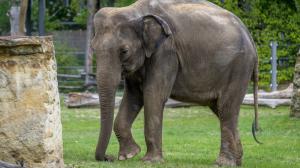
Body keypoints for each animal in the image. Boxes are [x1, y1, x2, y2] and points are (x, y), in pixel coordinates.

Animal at [91, 0, 260, 166]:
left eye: (124, 51)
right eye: (93, 49)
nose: (108, 157)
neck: (134, 10)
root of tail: (249, 36)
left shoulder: (166, 51)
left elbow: (153, 94)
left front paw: (150, 161)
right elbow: (133, 97)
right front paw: (128, 155)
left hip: (239, 67)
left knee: (226, 108)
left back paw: (223, 163)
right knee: (220, 108)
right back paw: (237, 160)